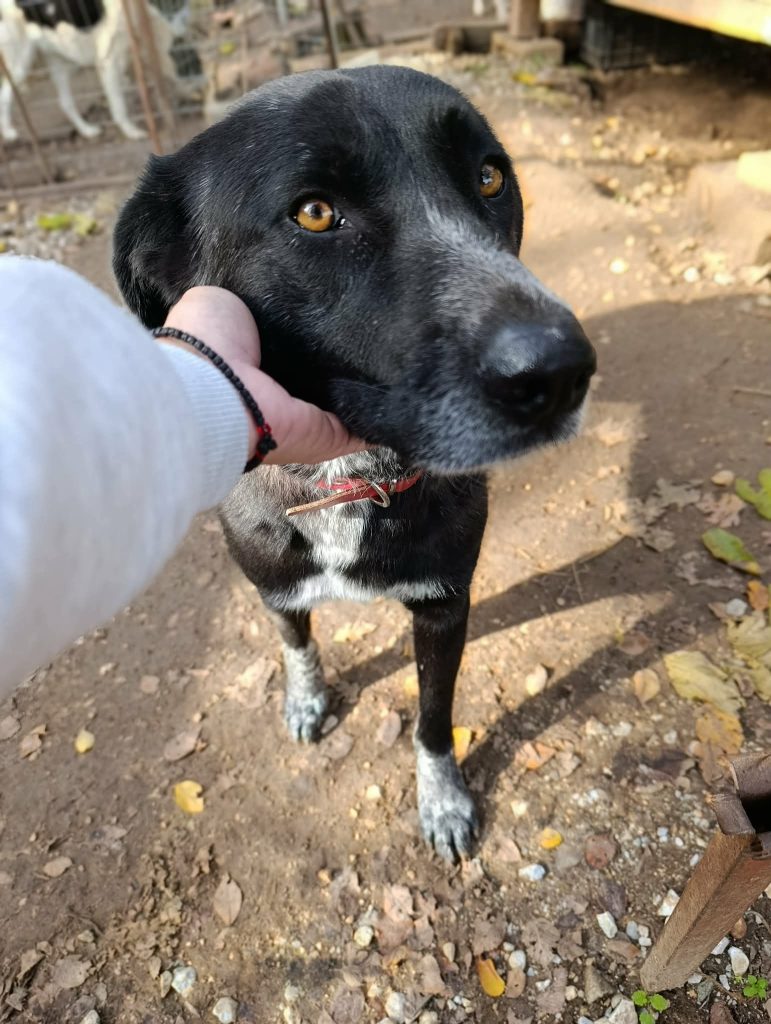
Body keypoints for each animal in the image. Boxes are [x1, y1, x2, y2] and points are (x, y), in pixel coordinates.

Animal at [0, 0, 187, 142]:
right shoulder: (109, 63)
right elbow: (119, 105)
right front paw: (131, 131)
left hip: (61, 62)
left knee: (65, 102)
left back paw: (87, 130)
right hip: (20, 63)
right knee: (5, 95)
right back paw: (8, 132)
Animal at [113, 66, 596, 861]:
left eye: (489, 176)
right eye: (314, 213)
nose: (559, 372)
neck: (350, 478)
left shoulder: (444, 604)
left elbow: (434, 720)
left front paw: (443, 803)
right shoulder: (273, 582)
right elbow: (296, 640)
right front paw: (307, 698)